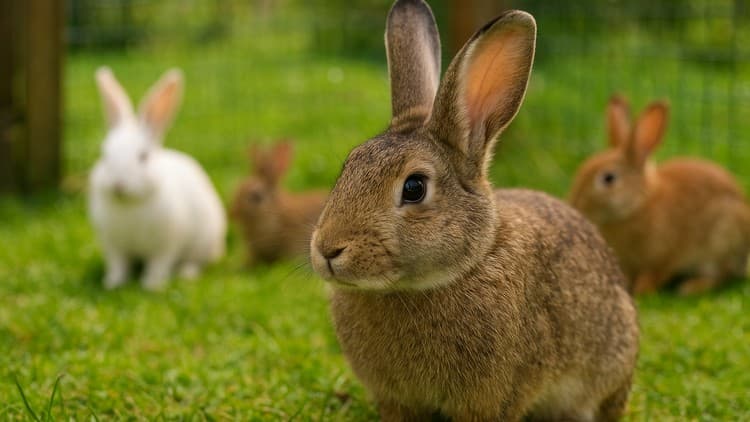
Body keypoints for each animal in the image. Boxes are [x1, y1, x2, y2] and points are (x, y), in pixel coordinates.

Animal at [89, 67, 226, 291]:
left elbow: (158, 264)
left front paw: (151, 285)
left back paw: (187, 274)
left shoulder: (166, 244)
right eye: (105, 155)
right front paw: (113, 283)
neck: (130, 204)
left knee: (195, 262)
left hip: (203, 242)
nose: (118, 184)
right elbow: (118, 265)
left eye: (143, 156)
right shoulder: (113, 246)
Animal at [570, 95, 750, 296]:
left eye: (608, 178)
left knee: (720, 275)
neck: (637, 206)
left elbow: (656, 273)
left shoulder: (665, 255)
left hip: (722, 241)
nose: (575, 204)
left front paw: (642, 289)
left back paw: (691, 287)